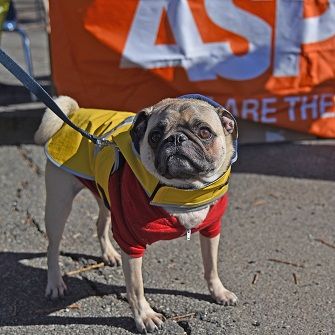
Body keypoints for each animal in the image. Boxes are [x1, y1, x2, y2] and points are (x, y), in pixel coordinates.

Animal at [34, 94, 239, 334]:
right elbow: (136, 287)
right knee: (53, 246)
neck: (183, 193)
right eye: (155, 136)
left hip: (106, 196)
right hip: (59, 205)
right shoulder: (131, 244)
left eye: (205, 132)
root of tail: (75, 111)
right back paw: (55, 282)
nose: (176, 138)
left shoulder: (211, 230)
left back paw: (109, 254)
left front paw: (218, 292)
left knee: (100, 223)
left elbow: (211, 266)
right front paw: (145, 316)